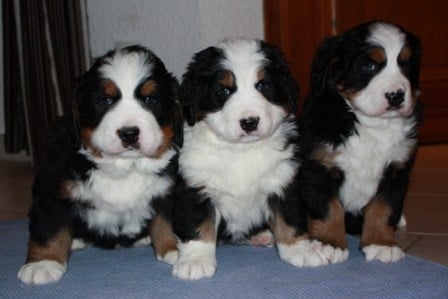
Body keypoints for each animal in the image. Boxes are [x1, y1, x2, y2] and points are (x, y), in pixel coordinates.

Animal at [17, 45, 182, 284]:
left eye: (151, 100)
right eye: (105, 101)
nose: (129, 133)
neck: (123, 167)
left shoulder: (169, 189)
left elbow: (166, 221)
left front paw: (175, 249)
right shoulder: (52, 187)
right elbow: (49, 227)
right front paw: (43, 263)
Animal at [170, 38, 328, 282]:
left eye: (263, 85)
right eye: (224, 90)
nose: (249, 122)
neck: (240, 151)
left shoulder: (282, 180)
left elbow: (289, 219)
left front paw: (301, 251)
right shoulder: (195, 187)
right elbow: (197, 225)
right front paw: (195, 261)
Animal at [300, 21, 422, 264]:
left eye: (406, 65)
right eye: (369, 66)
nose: (396, 95)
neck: (373, 126)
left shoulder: (396, 170)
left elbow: (384, 208)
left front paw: (382, 243)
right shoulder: (319, 167)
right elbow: (329, 208)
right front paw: (330, 243)